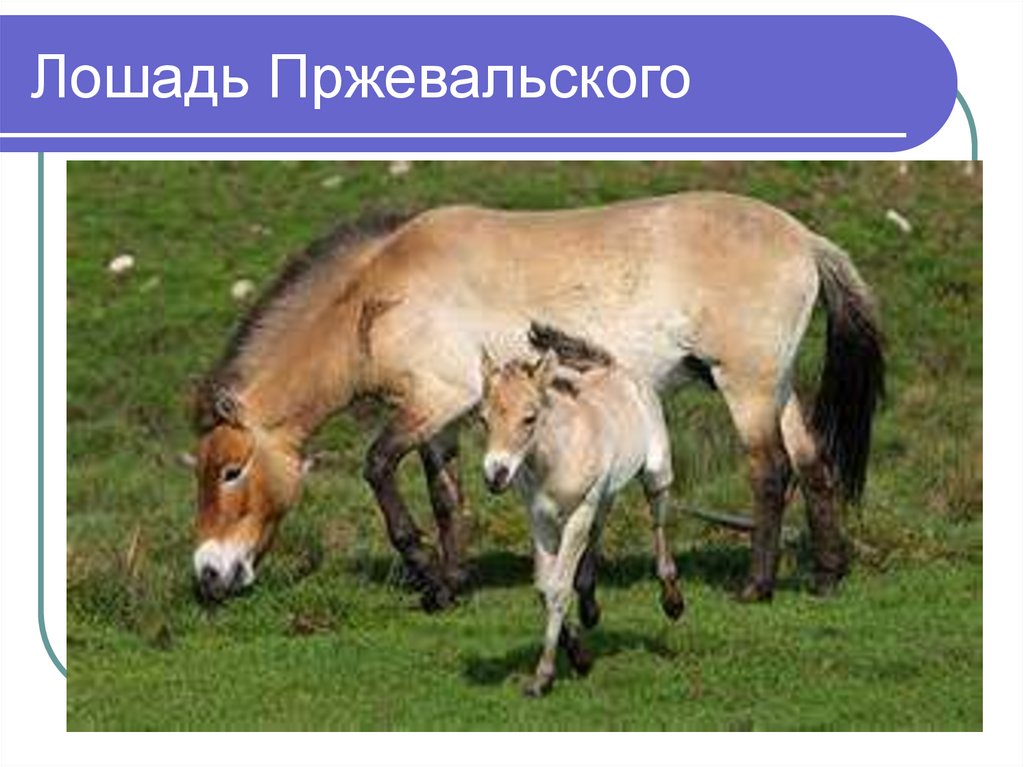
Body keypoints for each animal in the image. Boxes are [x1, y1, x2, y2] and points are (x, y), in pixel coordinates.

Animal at [190, 191, 884, 610]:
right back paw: (827, 574)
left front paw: (423, 570)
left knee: (771, 472)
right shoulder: (441, 420)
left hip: (746, 386)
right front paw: (450, 585)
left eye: (231, 471)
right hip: (777, 385)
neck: (379, 293)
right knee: (813, 464)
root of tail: (805, 238)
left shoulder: (435, 401)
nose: (209, 574)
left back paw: (756, 587)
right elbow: (446, 498)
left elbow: (377, 466)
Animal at [479, 324, 684, 696]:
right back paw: (590, 606)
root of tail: (616, 368)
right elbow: (544, 588)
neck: (558, 455)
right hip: (606, 492)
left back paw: (672, 599)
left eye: (529, 418)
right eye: (483, 420)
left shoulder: (577, 514)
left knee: (658, 522)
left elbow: (559, 587)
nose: (495, 475)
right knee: (599, 529)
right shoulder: (541, 520)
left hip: (656, 473)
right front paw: (579, 656)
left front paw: (543, 676)